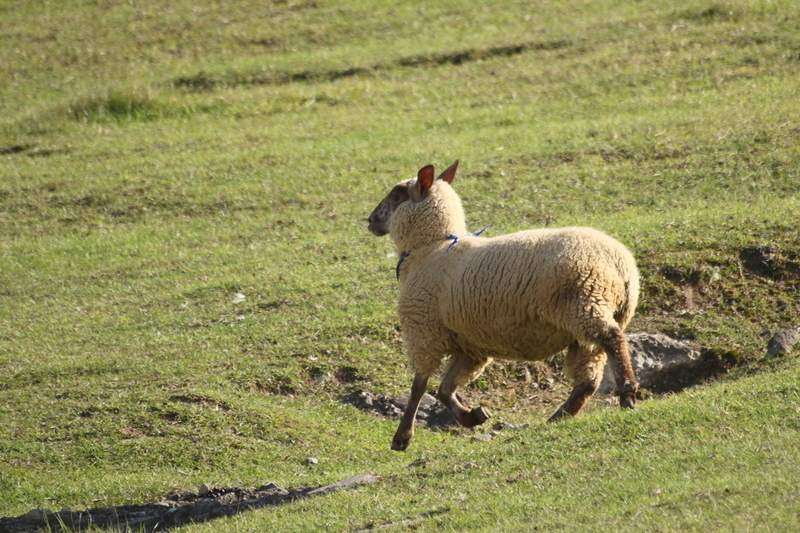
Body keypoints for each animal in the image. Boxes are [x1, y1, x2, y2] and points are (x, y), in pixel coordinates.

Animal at [366, 159, 640, 448]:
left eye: (396, 196)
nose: (370, 220)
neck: (430, 249)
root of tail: (620, 263)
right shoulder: (469, 346)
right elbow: (444, 389)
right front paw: (472, 416)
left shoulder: (423, 331)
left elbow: (419, 386)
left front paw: (402, 437)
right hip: (588, 321)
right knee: (589, 379)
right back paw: (559, 416)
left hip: (584, 303)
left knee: (612, 339)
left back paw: (627, 393)